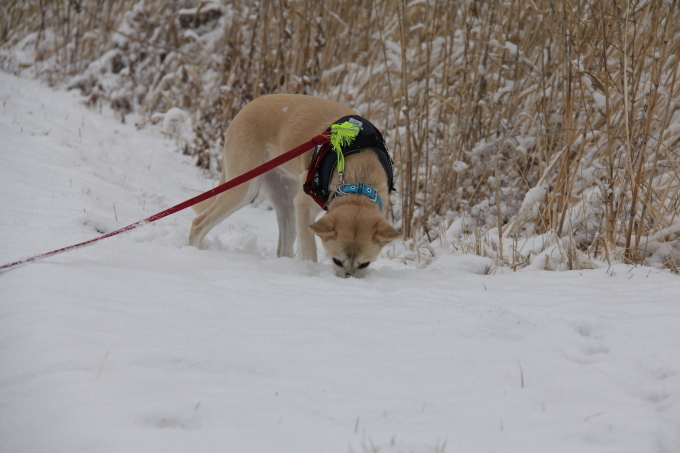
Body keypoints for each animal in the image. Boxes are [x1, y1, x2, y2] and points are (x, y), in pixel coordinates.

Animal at [189, 94, 402, 278]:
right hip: (244, 188)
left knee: (282, 248)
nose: (348, 281)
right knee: (198, 223)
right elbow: (310, 250)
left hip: (284, 199)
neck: (360, 179)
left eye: (365, 264)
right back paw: (193, 252)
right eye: (336, 261)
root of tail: (246, 107)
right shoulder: (304, 205)